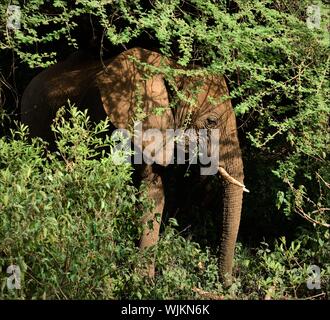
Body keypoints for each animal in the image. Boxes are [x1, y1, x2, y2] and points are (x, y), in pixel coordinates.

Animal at [20, 47, 248, 282]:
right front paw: (108, 276)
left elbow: (153, 191)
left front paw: (142, 282)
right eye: (211, 122)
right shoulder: (107, 119)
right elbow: (109, 187)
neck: (173, 69)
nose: (227, 283)